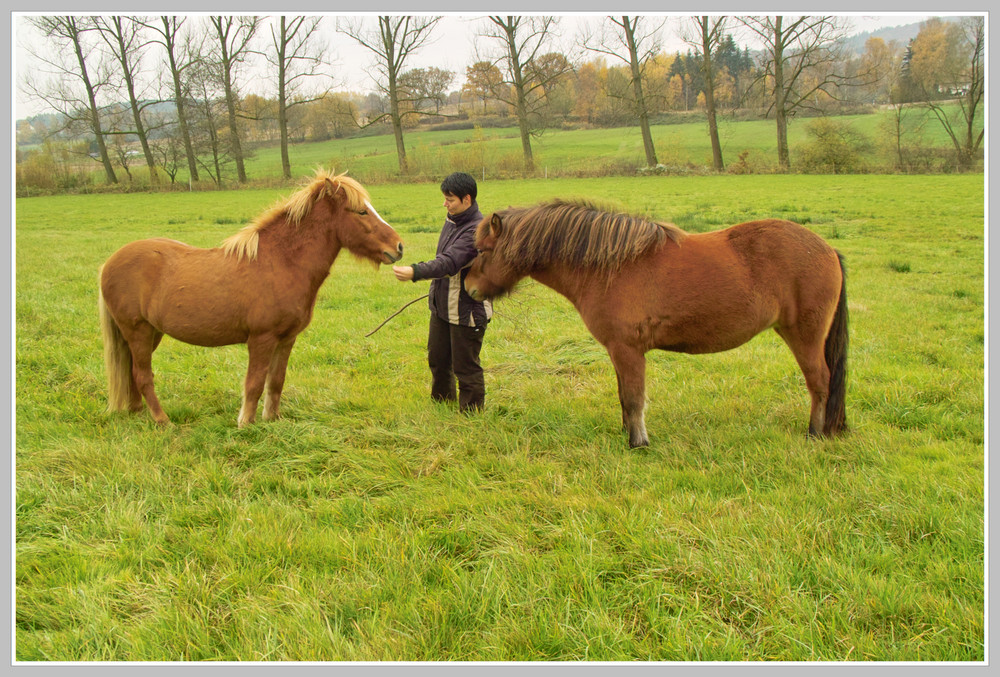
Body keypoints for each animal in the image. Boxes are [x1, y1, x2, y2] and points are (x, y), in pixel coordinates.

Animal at [97, 167, 402, 426]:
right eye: (361, 212)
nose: (398, 247)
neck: (281, 262)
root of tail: (109, 264)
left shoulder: (286, 339)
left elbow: (276, 381)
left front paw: (272, 419)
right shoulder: (261, 339)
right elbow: (254, 383)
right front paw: (246, 423)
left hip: (150, 334)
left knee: (131, 373)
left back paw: (138, 413)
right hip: (138, 331)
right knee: (142, 376)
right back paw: (163, 421)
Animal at [464, 198, 848, 446]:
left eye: (483, 250)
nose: (468, 287)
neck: (608, 266)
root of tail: (827, 249)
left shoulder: (628, 350)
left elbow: (634, 397)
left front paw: (638, 442)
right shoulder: (619, 352)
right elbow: (624, 395)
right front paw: (627, 434)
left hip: (804, 337)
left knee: (820, 382)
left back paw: (815, 434)